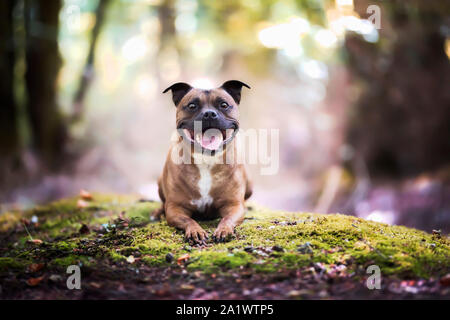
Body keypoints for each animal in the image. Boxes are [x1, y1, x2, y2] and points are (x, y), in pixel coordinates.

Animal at [153, 80, 253, 245]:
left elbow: (227, 218)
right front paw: (195, 231)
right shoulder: (175, 208)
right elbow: (188, 220)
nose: (209, 113)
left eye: (224, 105)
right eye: (192, 106)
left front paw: (224, 230)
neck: (206, 161)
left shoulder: (234, 205)